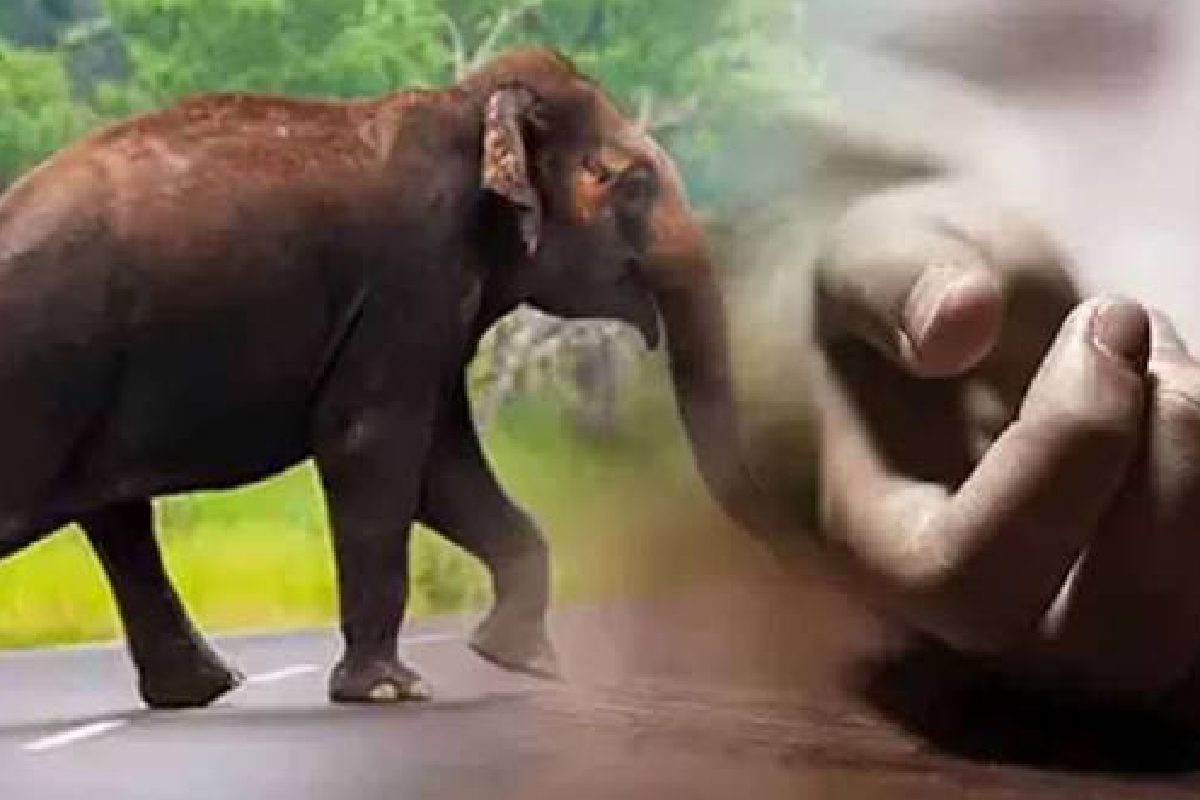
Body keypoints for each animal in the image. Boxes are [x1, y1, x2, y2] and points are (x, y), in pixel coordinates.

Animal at [0, 46, 768, 707]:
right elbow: (370, 444)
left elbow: (438, 469)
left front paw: (520, 660)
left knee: (117, 516)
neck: (468, 107)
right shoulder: (412, 273)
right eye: (634, 184)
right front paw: (390, 692)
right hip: (43, 369)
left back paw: (201, 691)